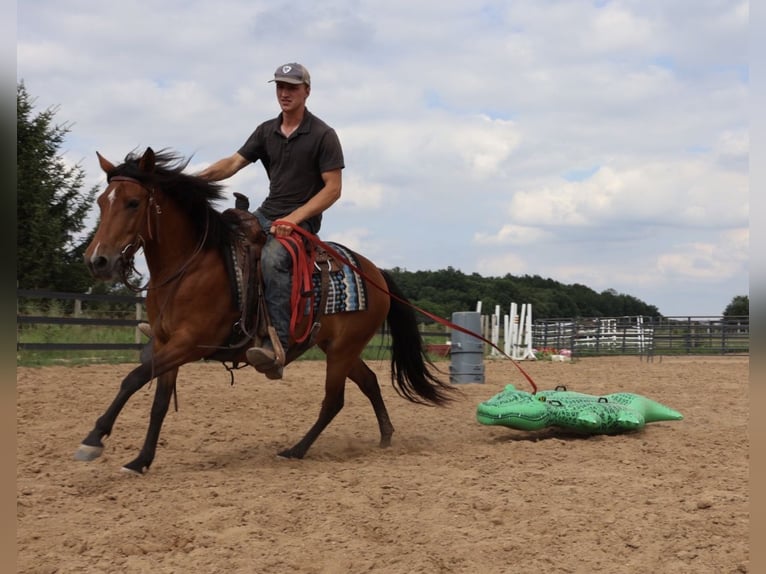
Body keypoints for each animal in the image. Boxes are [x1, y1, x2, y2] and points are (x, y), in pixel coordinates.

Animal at [76, 147, 456, 474]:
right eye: (101, 202)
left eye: (133, 202)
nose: (97, 260)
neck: (188, 268)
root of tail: (374, 273)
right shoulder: (165, 342)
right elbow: (158, 401)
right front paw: (140, 460)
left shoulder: (189, 344)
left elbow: (133, 377)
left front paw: (93, 439)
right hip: (338, 348)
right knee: (369, 383)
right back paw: (385, 436)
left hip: (343, 350)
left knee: (333, 400)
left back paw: (296, 450)